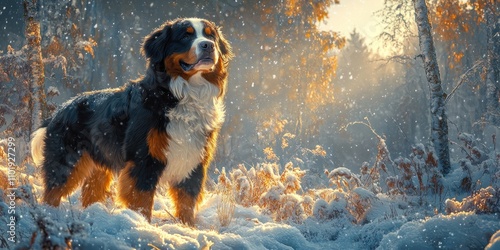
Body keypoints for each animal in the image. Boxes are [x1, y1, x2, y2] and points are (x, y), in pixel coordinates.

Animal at [30, 16, 233, 226]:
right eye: (186, 35)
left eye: (211, 36)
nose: (208, 45)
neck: (182, 95)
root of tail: (59, 110)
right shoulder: (143, 159)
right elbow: (142, 201)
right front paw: (143, 225)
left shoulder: (193, 160)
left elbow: (187, 203)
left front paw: (188, 228)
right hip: (67, 160)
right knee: (53, 191)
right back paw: (49, 217)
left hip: (99, 168)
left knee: (90, 193)